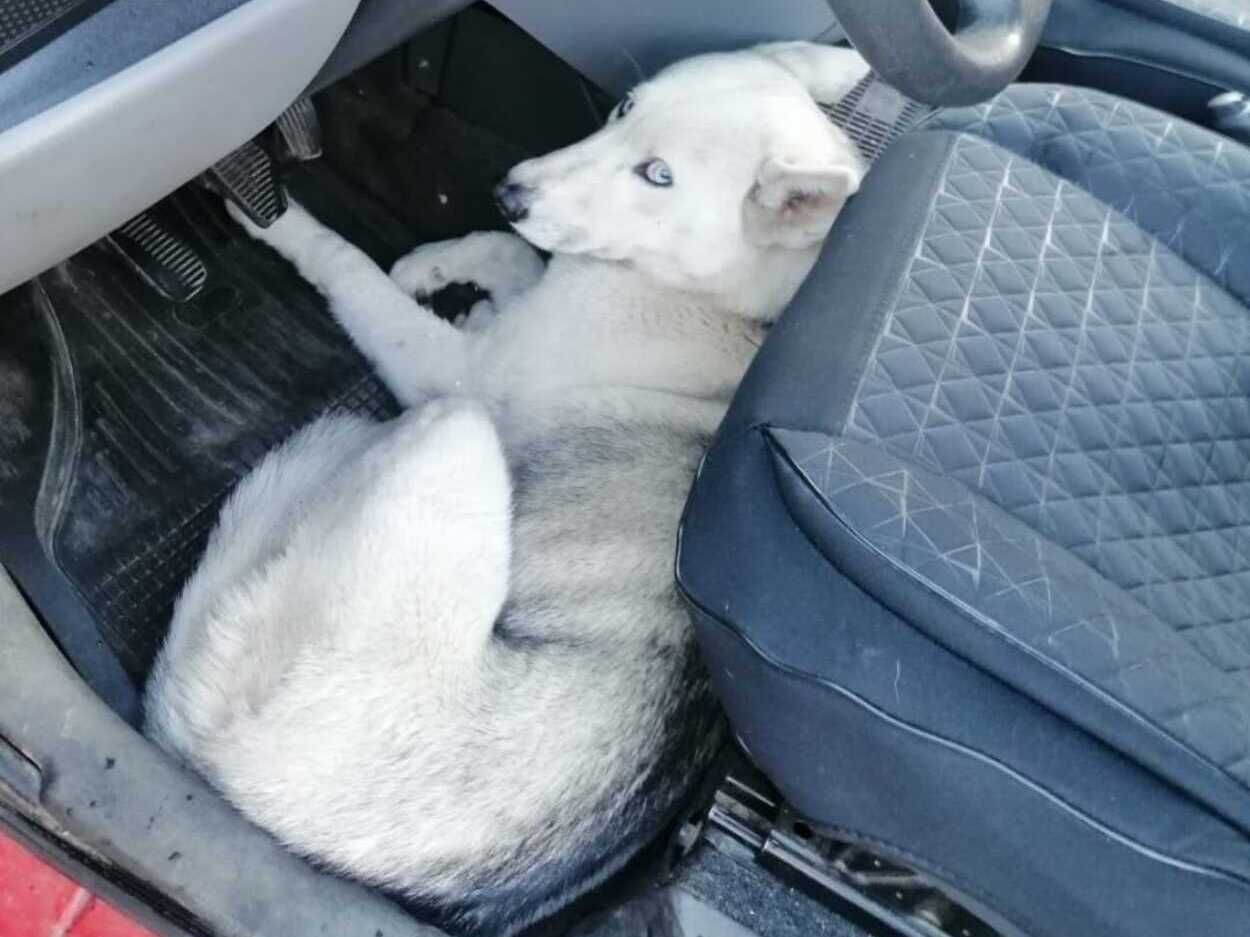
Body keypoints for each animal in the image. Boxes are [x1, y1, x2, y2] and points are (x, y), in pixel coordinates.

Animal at [146, 42, 865, 934]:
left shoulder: (460, 371)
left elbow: (350, 267)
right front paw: (444, 261)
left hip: (455, 433)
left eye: (657, 175)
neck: (727, 301)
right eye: (623, 107)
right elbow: (515, 254)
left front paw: (277, 216)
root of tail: (224, 775)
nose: (509, 189)